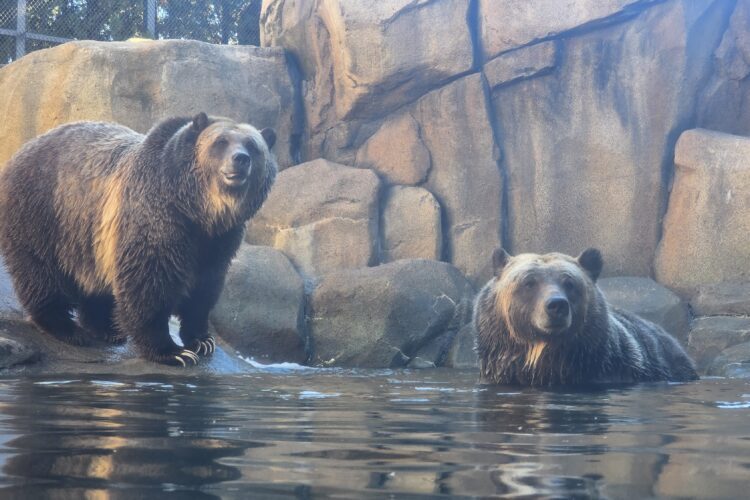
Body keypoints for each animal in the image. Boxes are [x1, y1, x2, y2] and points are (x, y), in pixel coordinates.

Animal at [0, 113, 277, 366]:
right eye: (221, 141)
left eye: (252, 145)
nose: (240, 159)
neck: (198, 209)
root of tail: (23, 149)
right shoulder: (158, 215)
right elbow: (149, 282)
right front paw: (173, 351)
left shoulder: (219, 241)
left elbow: (204, 287)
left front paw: (201, 339)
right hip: (45, 212)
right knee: (40, 271)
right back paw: (65, 328)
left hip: (88, 237)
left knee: (92, 280)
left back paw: (106, 329)